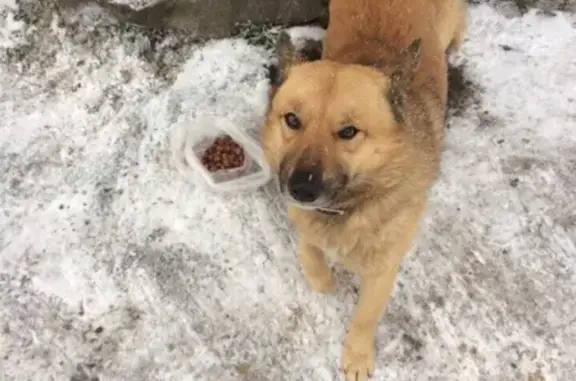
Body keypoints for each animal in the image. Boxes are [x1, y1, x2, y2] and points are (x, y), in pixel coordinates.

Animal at [262, 1, 468, 378]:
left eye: (348, 132)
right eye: (292, 120)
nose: (300, 189)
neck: (349, 206)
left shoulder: (384, 269)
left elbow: (364, 317)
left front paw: (357, 355)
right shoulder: (306, 222)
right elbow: (311, 255)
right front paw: (324, 279)